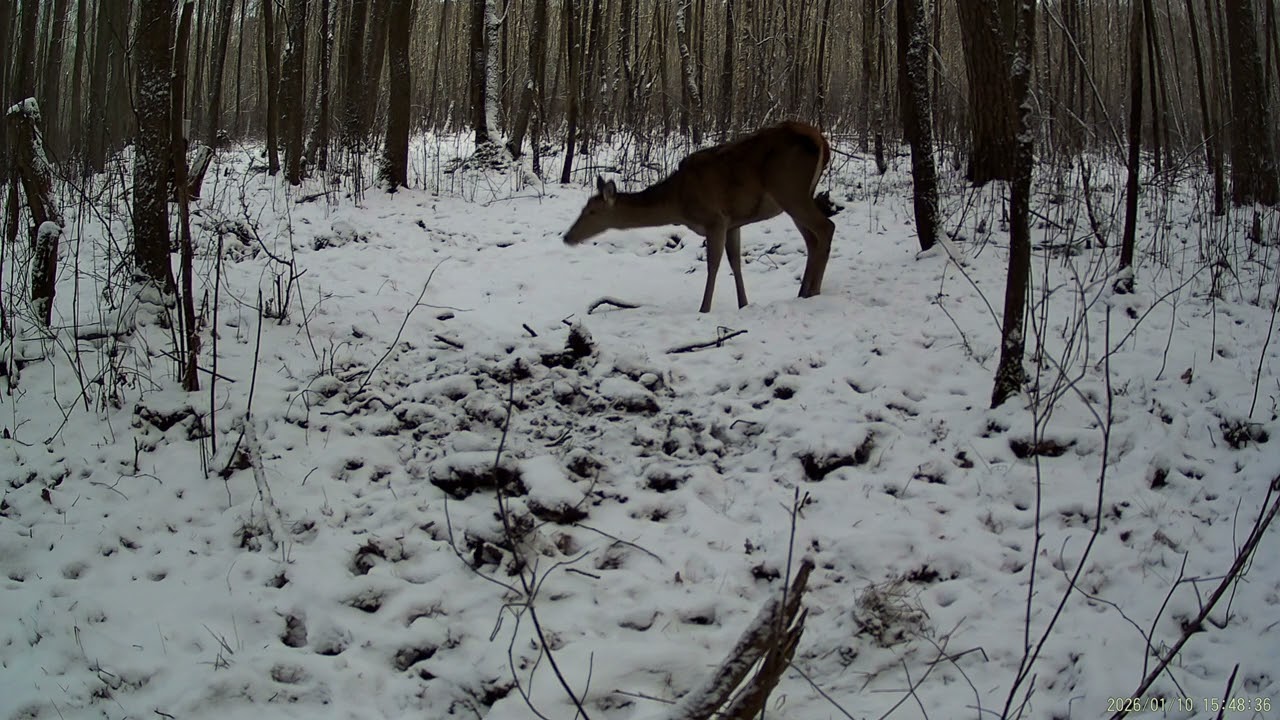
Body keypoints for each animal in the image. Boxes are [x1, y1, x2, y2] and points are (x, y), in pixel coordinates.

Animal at [563, 121, 840, 313]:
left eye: (591, 211)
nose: (567, 237)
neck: (678, 202)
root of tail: (822, 142)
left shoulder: (714, 218)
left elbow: (713, 264)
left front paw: (704, 308)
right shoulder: (733, 222)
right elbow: (735, 262)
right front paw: (743, 304)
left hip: (790, 189)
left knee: (826, 227)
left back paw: (814, 292)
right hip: (798, 195)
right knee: (812, 240)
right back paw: (803, 292)